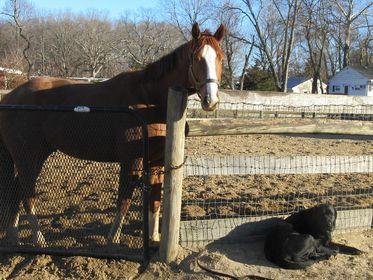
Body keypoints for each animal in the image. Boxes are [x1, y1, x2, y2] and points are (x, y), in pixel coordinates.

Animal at [0, 24, 224, 247]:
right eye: (196, 58)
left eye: (220, 58)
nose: (211, 100)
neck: (149, 98)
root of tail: (11, 97)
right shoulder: (132, 160)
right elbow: (124, 200)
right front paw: (113, 239)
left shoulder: (156, 162)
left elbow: (154, 200)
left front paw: (154, 238)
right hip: (29, 157)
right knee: (26, 194)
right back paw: (39, 240)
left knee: (15, 191)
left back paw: (14, 235)